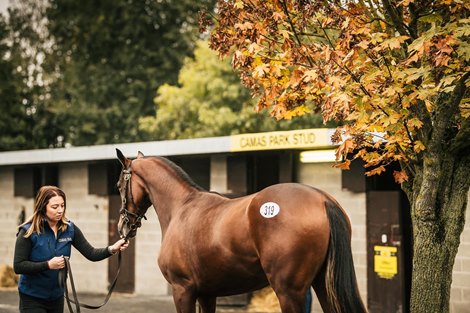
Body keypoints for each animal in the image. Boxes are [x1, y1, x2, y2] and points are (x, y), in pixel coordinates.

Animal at [114, 149, 368, 312]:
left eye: (118, 185)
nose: (122, 226)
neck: (181, 207)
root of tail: (322, 199)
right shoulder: (207, 294)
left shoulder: (182, 290)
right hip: (322, 285)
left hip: (289, 292)